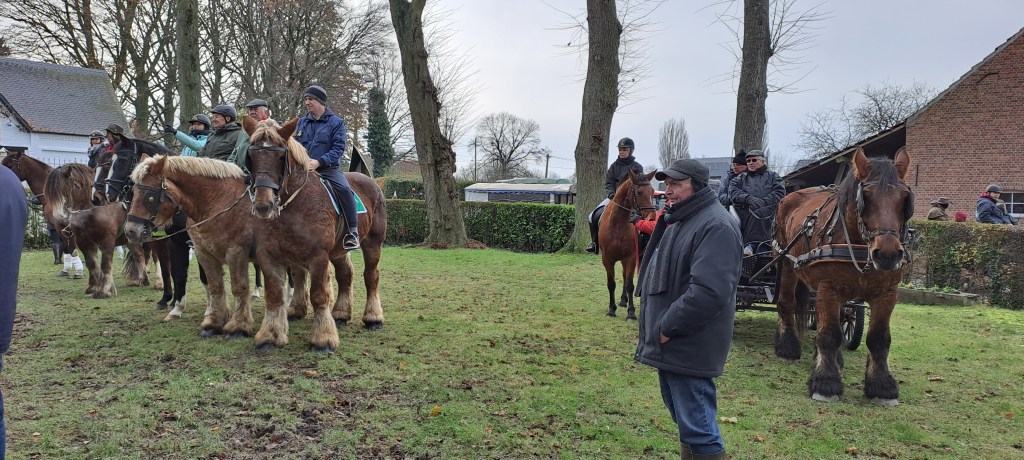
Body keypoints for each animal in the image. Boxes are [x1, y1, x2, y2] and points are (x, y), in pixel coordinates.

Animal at [121, 155, 256, 332]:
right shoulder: (188, 246)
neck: (218, 200)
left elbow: (217, 281)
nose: (130, 231)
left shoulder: (228, 251)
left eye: (150, 197)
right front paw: (177, 308)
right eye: (133, 192)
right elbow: (181, 274)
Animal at [243, 116, 387, 353]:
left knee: (371, 276)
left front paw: (323, 338)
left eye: (281, 156)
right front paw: (270, 335)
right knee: (345, 274)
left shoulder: (318, 257)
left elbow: (319, 295)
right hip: (338, 251)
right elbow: (274, 295)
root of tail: (370, 181)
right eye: (252, 156)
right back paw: (340, 314)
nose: (263, 204)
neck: (296, 203)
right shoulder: (270, 256)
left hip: (373, 244)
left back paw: (373, 317)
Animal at [597, 170, 657, 320]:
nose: (652, 218)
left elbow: (630, 284)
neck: (618, 224)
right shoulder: (607, 259)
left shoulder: (630, 257)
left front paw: (631, 312)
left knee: (626, 277)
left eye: (653, 191)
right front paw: (611, 309)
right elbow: (611, 284)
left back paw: (625, 301)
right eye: (639, 192)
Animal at [773, 147, 913, 406]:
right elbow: (829, 334)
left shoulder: (887, 293)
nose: (887, 254)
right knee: (787, 303)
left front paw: (882, 386)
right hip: (786, 262)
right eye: (865, 196)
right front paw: (826, 384)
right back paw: (787, 348)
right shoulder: (828, 288)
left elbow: (878, 338)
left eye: (905, 197)